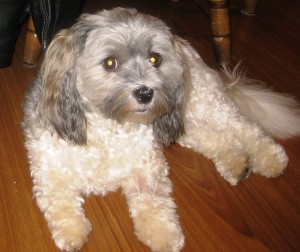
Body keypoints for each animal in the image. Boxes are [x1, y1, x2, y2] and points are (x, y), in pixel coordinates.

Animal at [22, 6, 300, 251]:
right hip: (182, 125)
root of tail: (184, 44)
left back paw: (271, 159)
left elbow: (153, 202)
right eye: (110, 63)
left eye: (155, 58)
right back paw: (237, 163)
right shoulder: (48, 167)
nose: (145, 92)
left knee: (243, 126)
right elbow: (59, 200)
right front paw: (73, 232)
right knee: (215, 138)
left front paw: (164, 235)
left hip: (202, 103)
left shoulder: (147, 166)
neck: (108, 128)